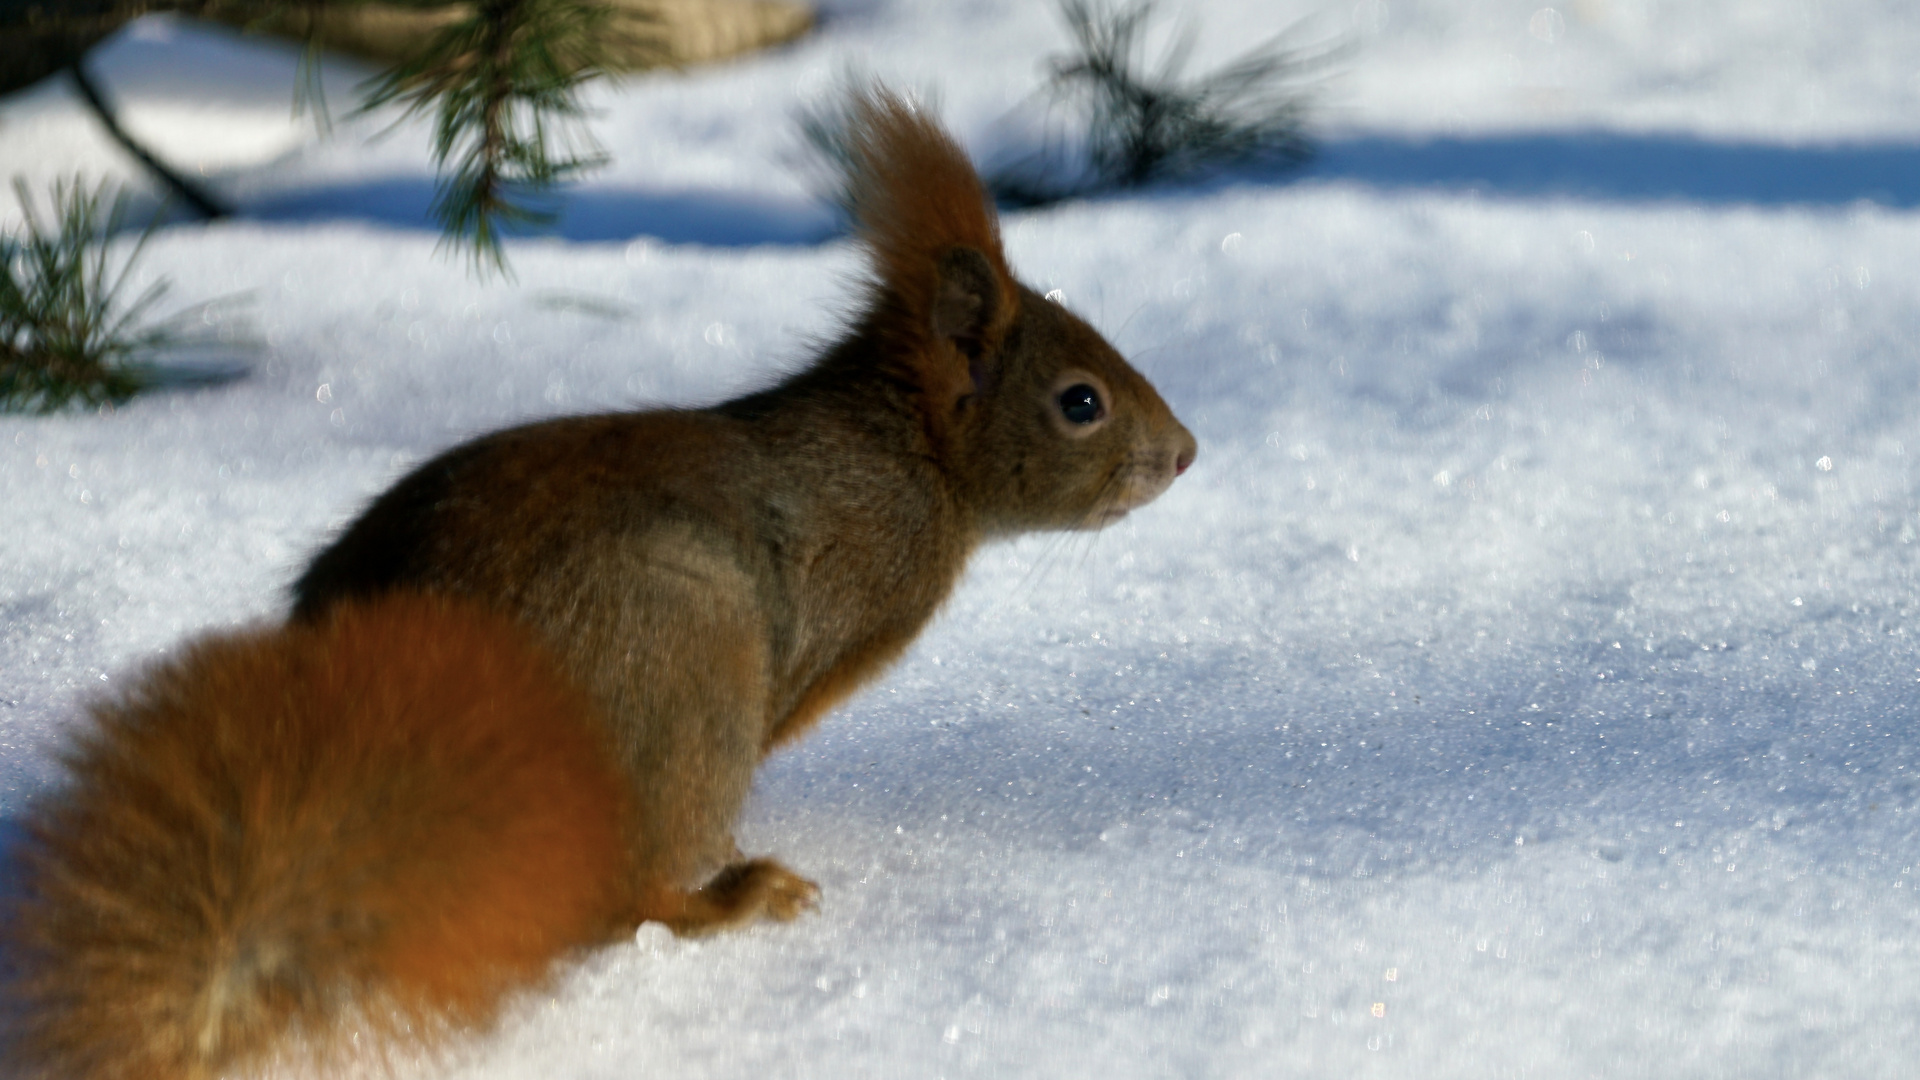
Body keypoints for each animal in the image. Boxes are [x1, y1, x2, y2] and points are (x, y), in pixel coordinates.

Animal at [0, 90, 1190, 1076]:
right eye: (1081, 402)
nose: (1184, 455)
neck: (904, 452)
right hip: (691, 668)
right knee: (631, 899)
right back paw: (736, 896)